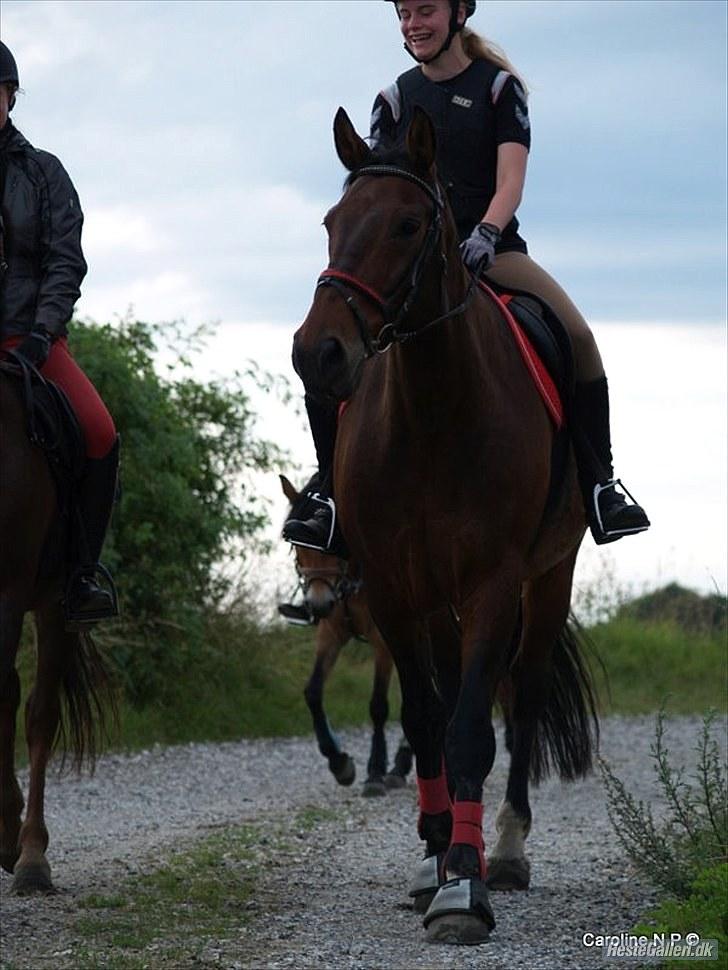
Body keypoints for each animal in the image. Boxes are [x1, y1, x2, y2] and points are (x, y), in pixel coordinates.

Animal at [280, 474, 412, 796]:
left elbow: (378, 705)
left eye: (331, 548)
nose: (318, 604)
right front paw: (339, 763)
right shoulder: (331, 632)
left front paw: (375, 772)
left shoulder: (382, 641)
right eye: (297, 550)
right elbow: (313, 692)